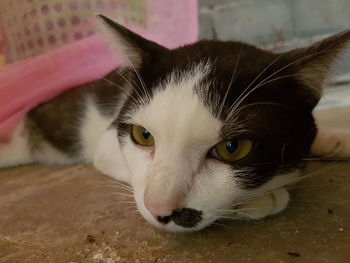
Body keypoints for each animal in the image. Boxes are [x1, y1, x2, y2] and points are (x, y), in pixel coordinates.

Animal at [0, 15, 350, 232]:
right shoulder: (106, 143)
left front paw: (334, 138)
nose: (162, 211)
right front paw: (264, 198)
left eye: (233, 147)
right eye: (143, 135)